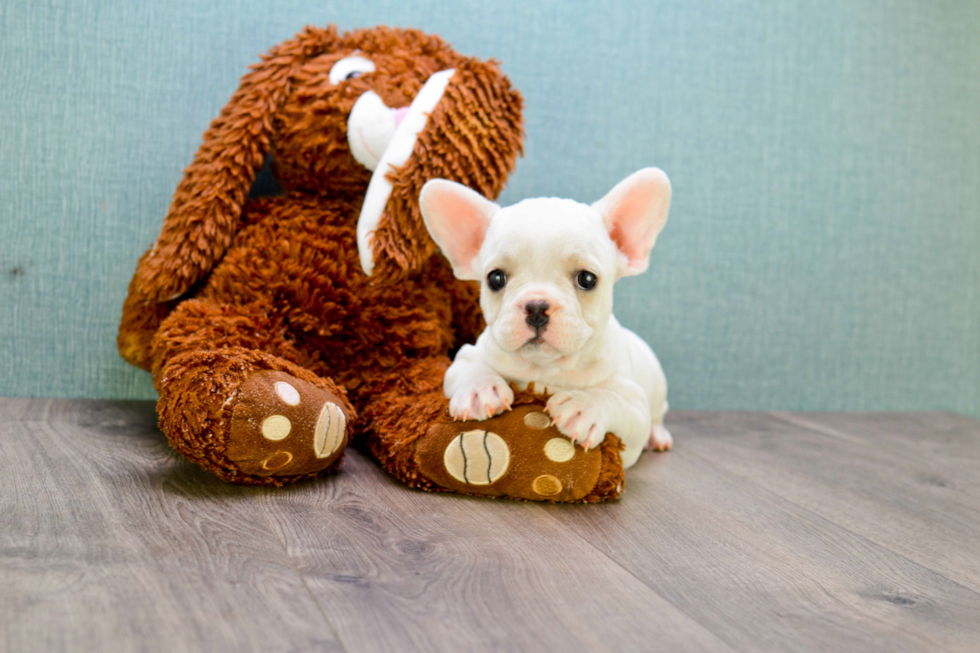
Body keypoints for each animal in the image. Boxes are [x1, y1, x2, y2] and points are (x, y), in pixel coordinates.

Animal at [422, 168, 672, 468]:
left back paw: (658, 436)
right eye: (495, 278)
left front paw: (584, 405)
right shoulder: (467, 355)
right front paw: (479, 390)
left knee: (657, 416)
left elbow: (613, 400)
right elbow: (471, 368)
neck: (545, 368)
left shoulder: (635, 408)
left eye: (587, 279)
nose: (537, 306)